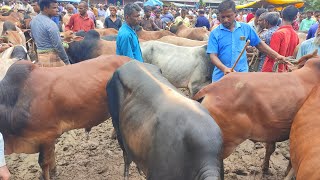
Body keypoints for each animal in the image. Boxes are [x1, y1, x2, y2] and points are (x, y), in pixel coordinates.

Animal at [0, 55, 130, 180]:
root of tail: (129, 59)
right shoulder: (48, 139)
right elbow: (51, 156)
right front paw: (53, 172)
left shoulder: (46, 136)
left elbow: (43, 162)